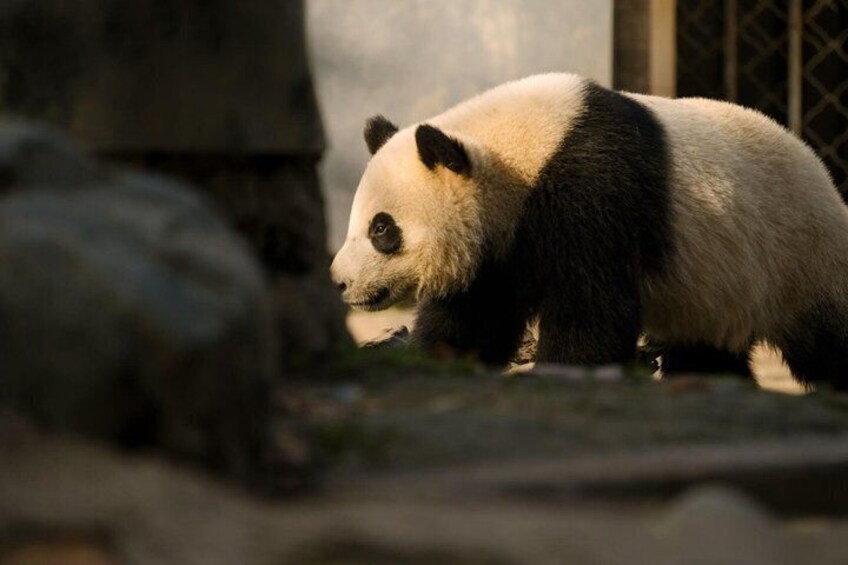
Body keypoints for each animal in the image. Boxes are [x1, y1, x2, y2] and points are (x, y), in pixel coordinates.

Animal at [330, 73, 848, 389]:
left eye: (382, 229)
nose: (340, 282)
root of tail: (825, 176)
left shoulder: (592, 190)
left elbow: (590, 307)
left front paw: (562, 370)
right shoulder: (500, 243)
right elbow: (474, 314)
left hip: (801, 254)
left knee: (827, 341)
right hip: (717, 285)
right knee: (707, 349)